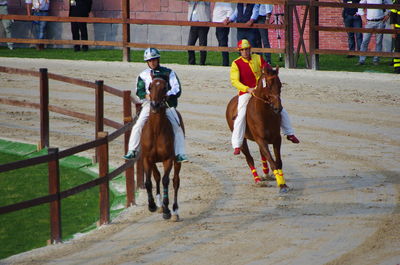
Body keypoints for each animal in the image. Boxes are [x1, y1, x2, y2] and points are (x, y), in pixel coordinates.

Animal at [140, 77, 182, 221]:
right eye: (150, 87)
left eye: (165, 87)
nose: (155, 105)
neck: (156, 131)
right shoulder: (147, 158)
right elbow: (148, 182)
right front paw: (152, 205)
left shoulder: (168, 159)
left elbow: (166, 180)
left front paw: (167, 210)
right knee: (156, 176)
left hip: (177, 161)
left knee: (175, 181)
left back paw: (175, 211)